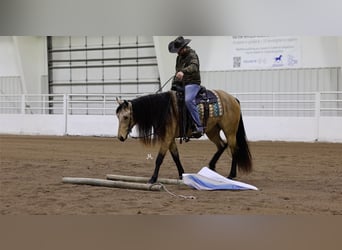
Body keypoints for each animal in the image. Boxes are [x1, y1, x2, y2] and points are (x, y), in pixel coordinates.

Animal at [116, 90, 252, 184]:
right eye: (118, 116)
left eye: (126, 117)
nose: (120, 137)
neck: (165, 110)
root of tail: (232, 98)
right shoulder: (170, 139)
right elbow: (176, 156)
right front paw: (182, 174)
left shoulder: (167, 138)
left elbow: (159, 158)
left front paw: (153, 178)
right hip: (212, 131)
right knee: (222, 145)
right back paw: (212, 166)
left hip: (230, 131)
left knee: (234, 149)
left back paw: (231, 174)